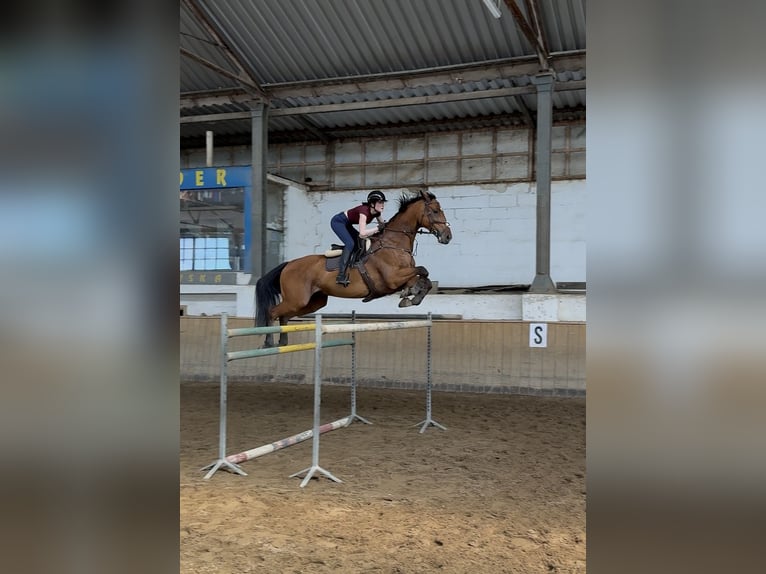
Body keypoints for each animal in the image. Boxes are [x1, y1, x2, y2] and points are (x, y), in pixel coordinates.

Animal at [255, 188, 452, 347]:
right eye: (435, 211)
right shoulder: (392, 278)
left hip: (313, 302)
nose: (448, 236)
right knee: (272, 312)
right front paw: (410, 296)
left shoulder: (404, 277)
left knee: (284, 316)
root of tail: (288, 264)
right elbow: (423, 270)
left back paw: (283, 342)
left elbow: (424, 279)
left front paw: (411, 296)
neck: (394, 244)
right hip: (297, 299)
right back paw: (269, 342)